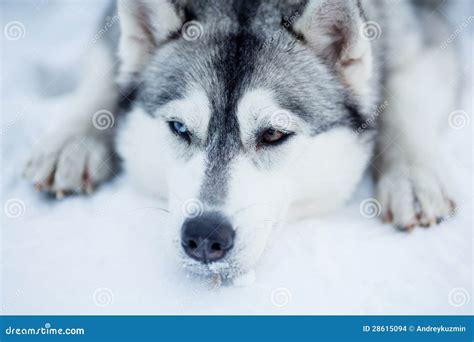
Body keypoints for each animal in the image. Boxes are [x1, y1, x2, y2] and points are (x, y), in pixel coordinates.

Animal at [24, 0, 458, 278]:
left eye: (273, 134)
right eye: (179, 128)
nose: (204, 237)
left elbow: (404, 93)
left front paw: (413, 178)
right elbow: (104, 66)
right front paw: (72, 141)